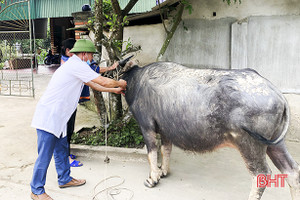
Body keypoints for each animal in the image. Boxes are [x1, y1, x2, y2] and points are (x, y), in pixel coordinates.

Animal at [120, 61, 298, 199]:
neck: (138, 81)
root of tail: (278, 94)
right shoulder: (165, 131)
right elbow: (165, 150)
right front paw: (163, 171)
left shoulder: (147, 126)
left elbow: (151, 153)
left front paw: (153, 179)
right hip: (275, 143)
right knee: (291, 170)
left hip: (250, 145)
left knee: (261, 174)